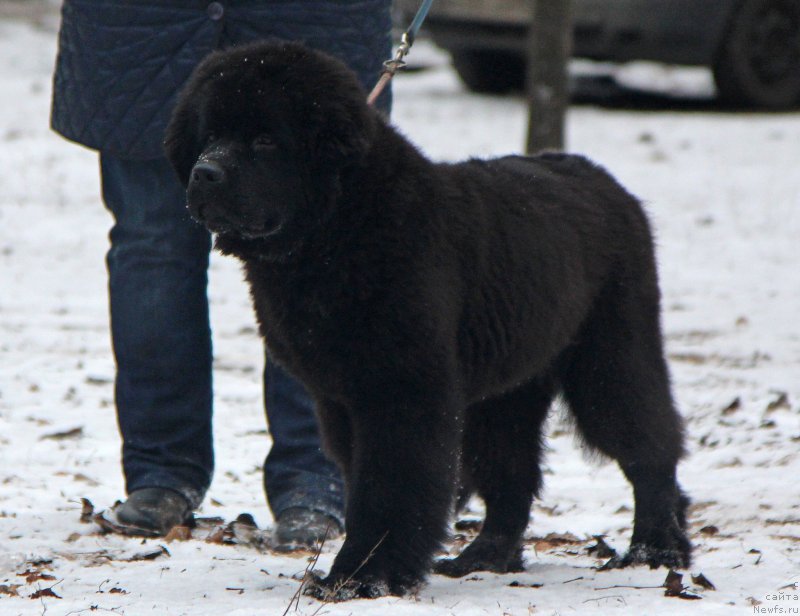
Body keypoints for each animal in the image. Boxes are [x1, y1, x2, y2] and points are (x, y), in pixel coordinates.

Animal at [166, 41, 692, 600]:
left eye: (265, 139)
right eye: (210, 136)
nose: (205, 172)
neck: (342, 232)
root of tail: (606, 182)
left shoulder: (403, 391)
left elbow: (388, 488)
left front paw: (360, 577)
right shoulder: (342, 399)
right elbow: (366, 484)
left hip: (611, 354)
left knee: (648, 446)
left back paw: (656, 550)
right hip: (506, 389)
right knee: (512, 472)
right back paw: (486, 557)